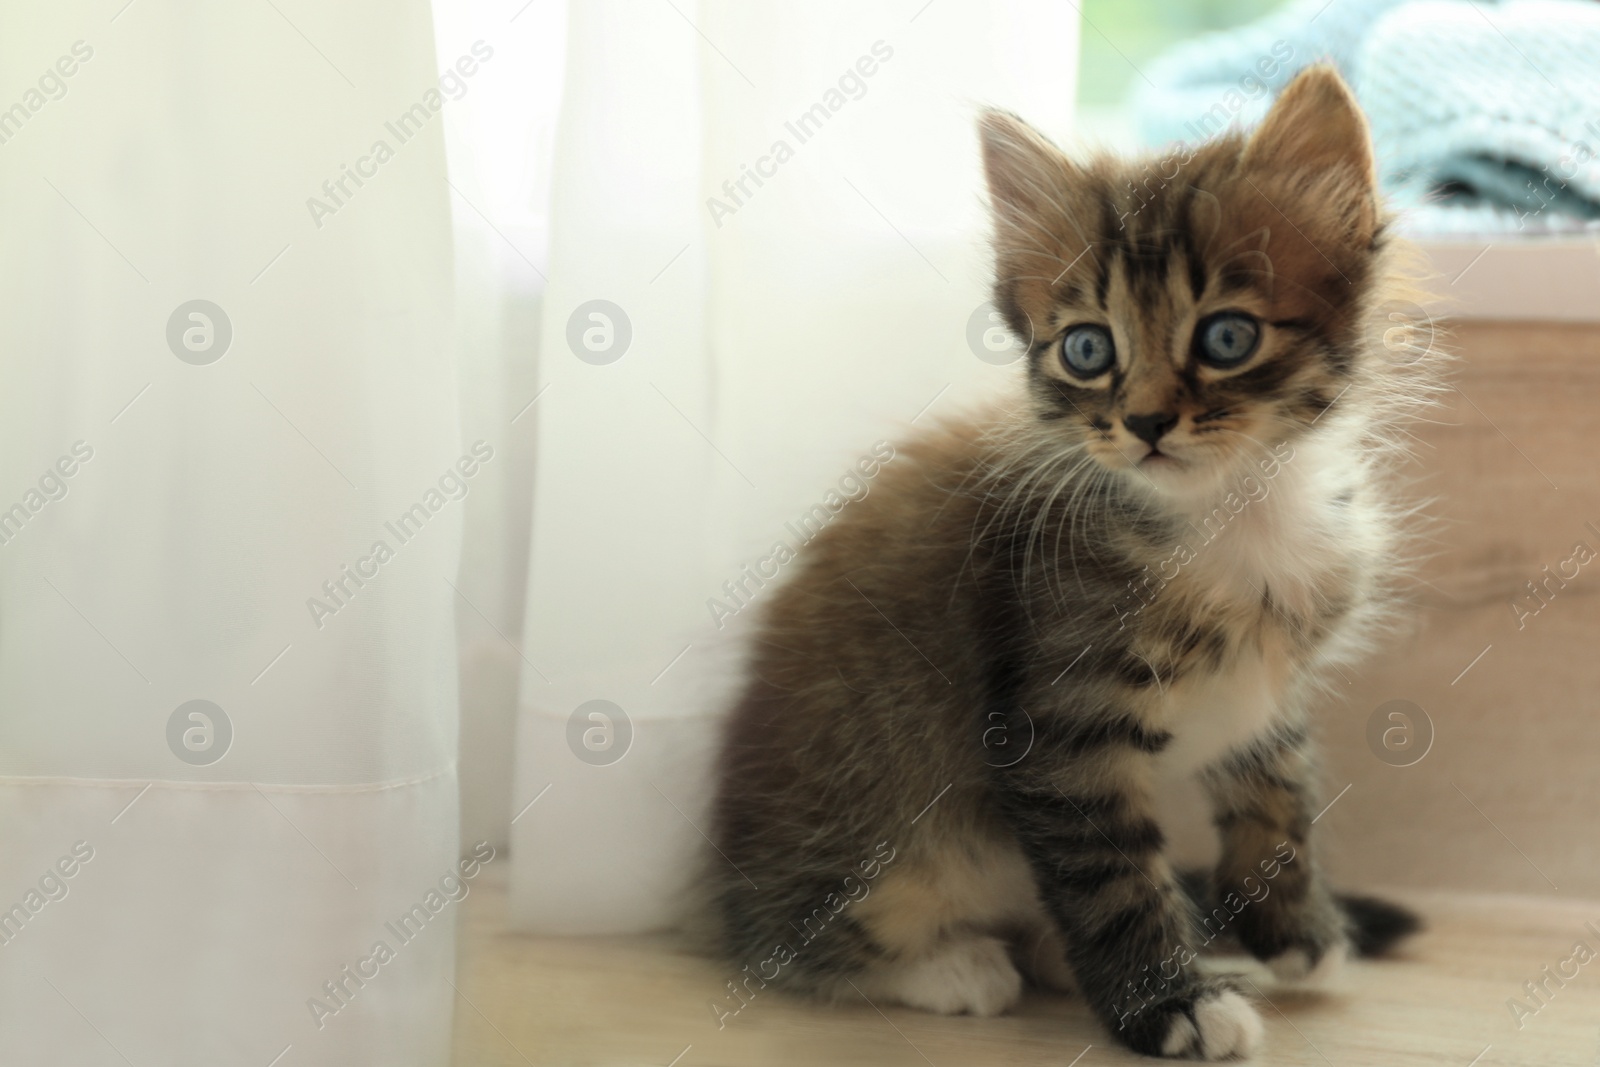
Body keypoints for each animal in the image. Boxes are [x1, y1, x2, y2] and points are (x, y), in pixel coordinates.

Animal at [707, 66, 1433, 1062]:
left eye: (1227, 338)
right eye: (1089, 349)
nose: (1146, 421)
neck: (1233, 513)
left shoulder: (1265, 688)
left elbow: (1281, 795)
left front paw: (1295, 929)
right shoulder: (1061, 723)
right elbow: (1112, 878)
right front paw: (1171, 1005)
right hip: (885, 836)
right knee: (787, 944)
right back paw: (952, 966)